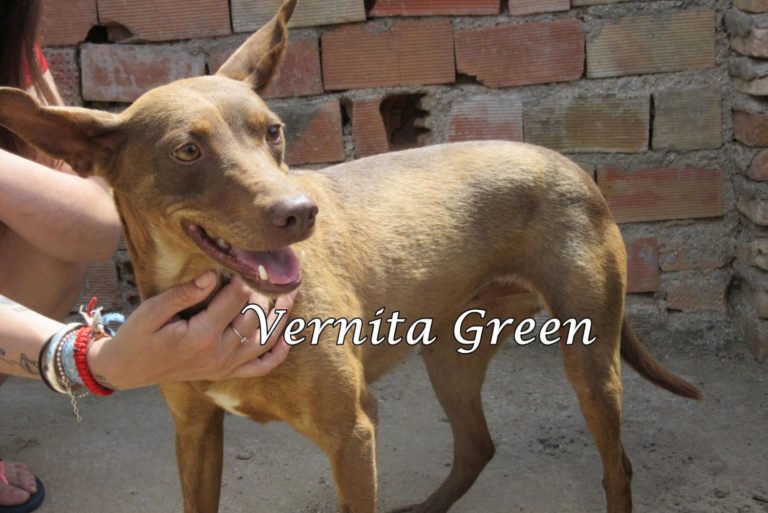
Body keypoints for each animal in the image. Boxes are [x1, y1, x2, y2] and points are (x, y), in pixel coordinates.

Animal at [0, 1, 701, 512]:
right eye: (186, 151)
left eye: (272, 132)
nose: (299, 213)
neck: (226, 300)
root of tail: (572, 166)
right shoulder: (194, 431)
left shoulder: (352, 434)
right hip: (450, 353)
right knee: (477, 447)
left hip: (590, 362)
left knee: (617, 467)